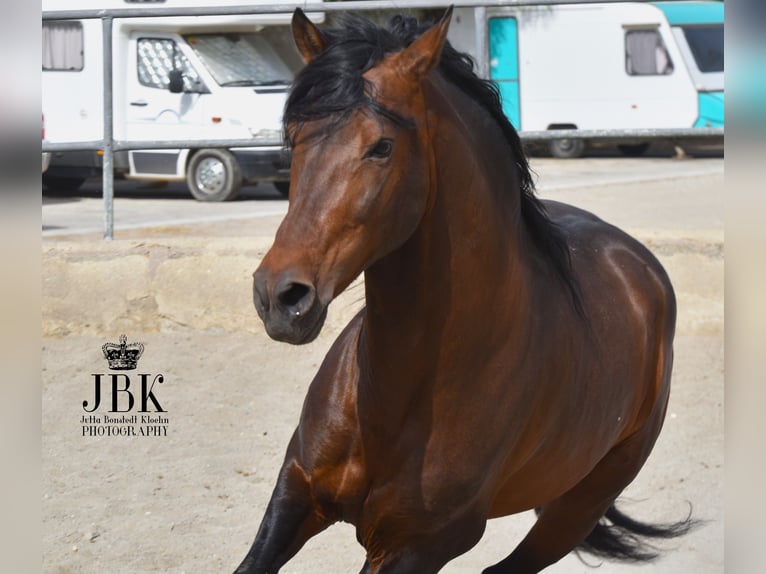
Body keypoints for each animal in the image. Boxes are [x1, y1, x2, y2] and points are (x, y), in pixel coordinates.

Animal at [238, 6, 696, 572]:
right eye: (296, 136)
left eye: (382, 146)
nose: (280, 297)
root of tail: (638, 264)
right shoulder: (296, 493)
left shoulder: (415, 547)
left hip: (573, 514)